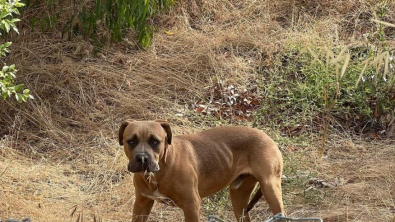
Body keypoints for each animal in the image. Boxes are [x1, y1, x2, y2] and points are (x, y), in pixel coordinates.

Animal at [118, 120, 284, 221]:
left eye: (155, 142)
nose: (142, 159)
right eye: (131, 141)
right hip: (239, 198)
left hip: (270, 188)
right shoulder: (141, 203)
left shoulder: (191, 205)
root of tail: (268, 137)